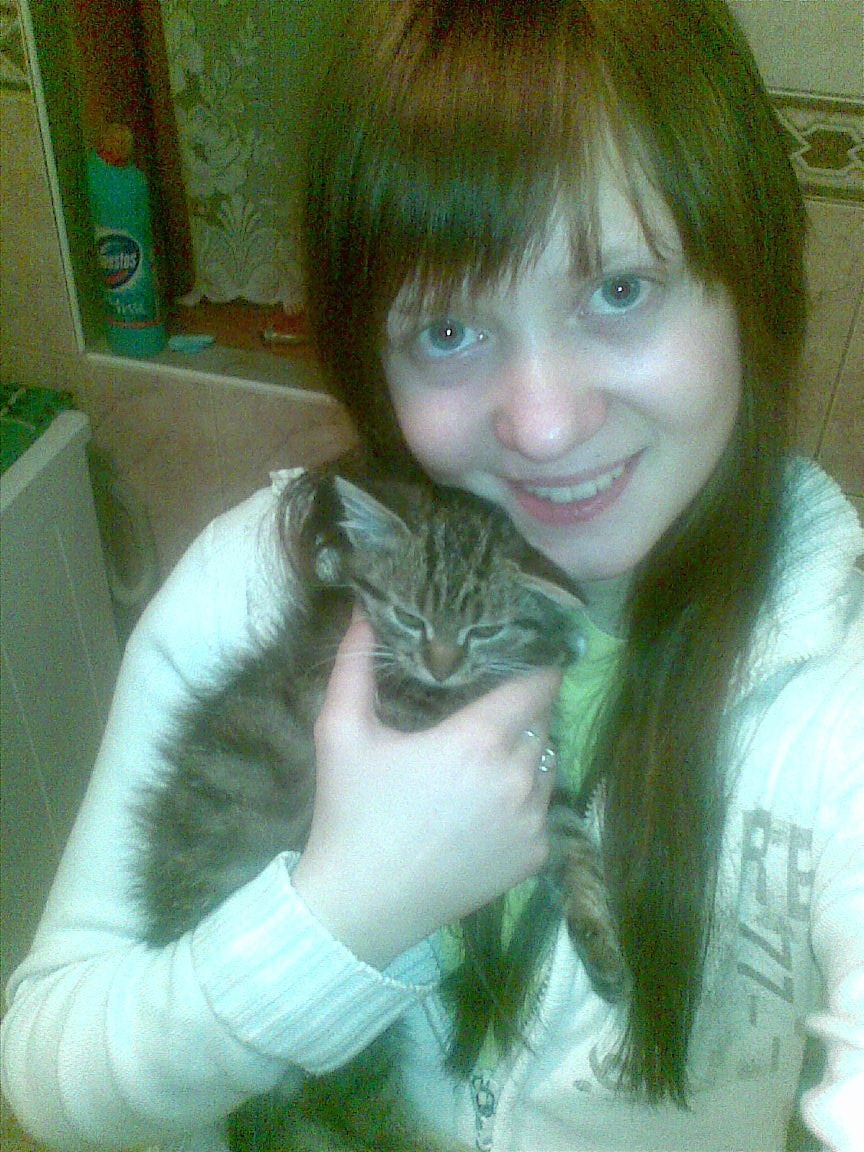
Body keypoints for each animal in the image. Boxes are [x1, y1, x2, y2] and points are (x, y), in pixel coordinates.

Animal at [134, 460, 626, 1152]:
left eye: (483, 628)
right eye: (409, 616)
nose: (442, 666)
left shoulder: (534, 773)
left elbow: (573, 838)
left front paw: (602, 942)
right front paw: (558, 646)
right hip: (332, 1036)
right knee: (356, 1109)